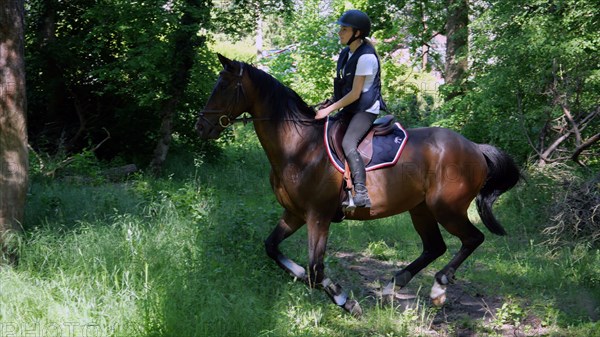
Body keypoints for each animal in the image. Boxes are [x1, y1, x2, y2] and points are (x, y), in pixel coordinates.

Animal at [196, 53, 520, 316]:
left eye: (223, 86)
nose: (201, 127)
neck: (299, 146)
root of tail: (474, 147)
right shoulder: (295, 214)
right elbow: (273, 248)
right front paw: (309, 280)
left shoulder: (318, 216)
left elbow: (315, 269)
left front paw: (345, 301)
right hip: (421, 209)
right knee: (434, 247)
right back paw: (392, 286)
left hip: (447, 208)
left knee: (472, 239)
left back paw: (438, 288)